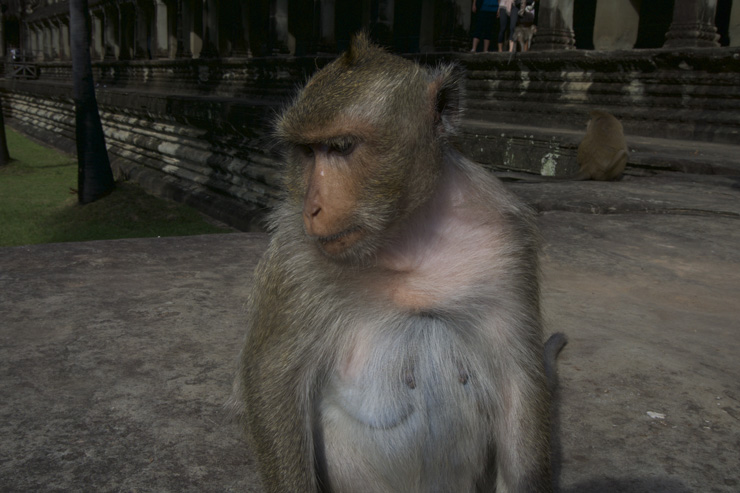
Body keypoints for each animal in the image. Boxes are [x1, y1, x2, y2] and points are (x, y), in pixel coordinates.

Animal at [234, 34, 556, 492]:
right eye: (307, 152)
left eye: (341, 147)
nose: (312, 208)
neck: (406, 233)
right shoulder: (295, 260)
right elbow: (272, 381)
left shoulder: (509, 243)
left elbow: (517, 385)